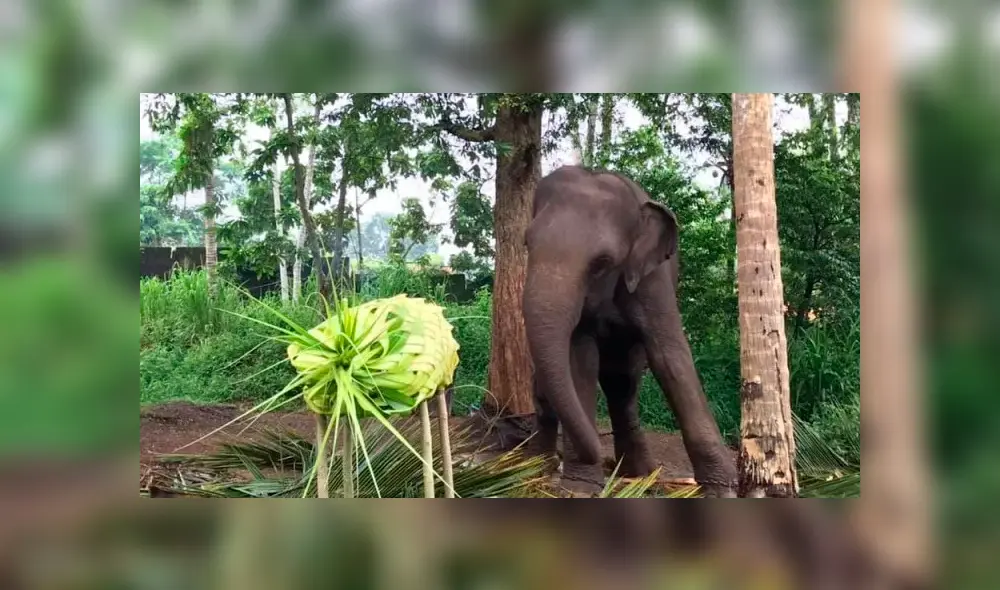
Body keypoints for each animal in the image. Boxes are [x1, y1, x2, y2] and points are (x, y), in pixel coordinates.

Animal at [521, 165, 737, 497]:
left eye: (602, 262)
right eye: (527, 244)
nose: (595, 453)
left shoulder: (654, 280)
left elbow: (671, 357)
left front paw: (722, 489)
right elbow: (580, 360)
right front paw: (581, 487)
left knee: (623, 383)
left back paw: (640, 474)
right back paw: (535, 469)